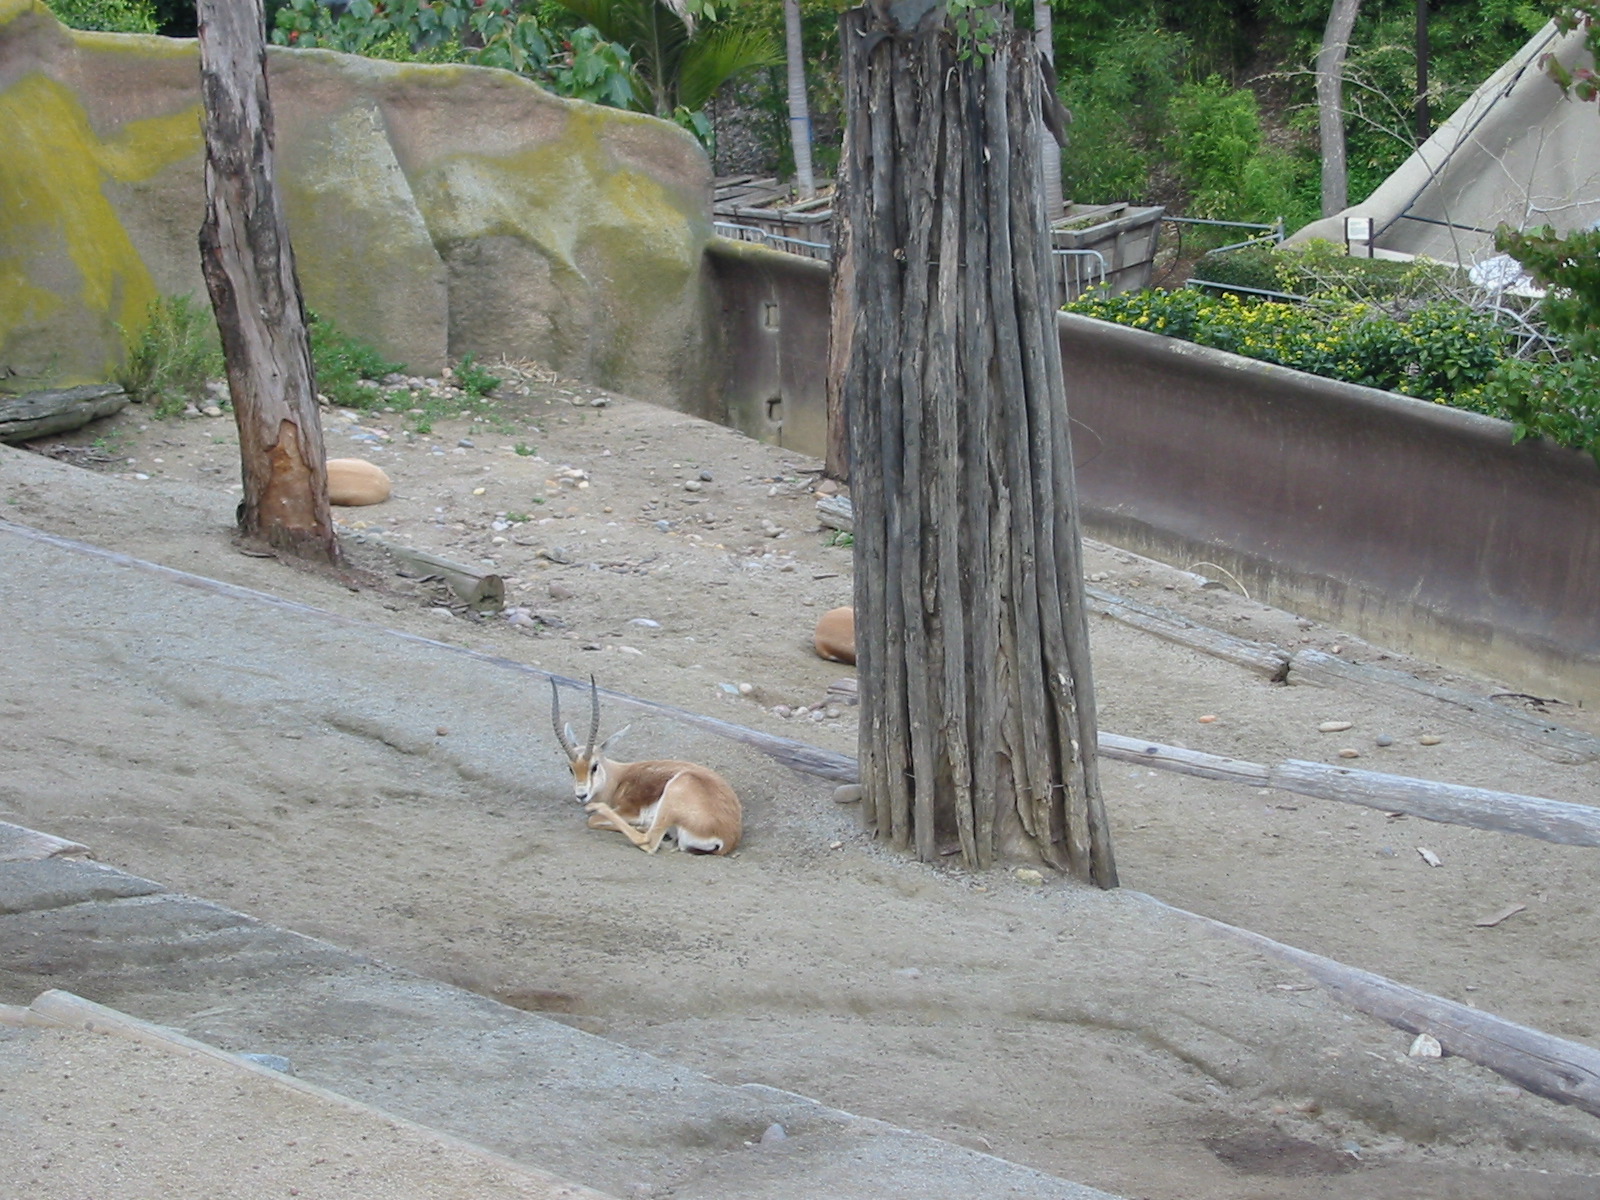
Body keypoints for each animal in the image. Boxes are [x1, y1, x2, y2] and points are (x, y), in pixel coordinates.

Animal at [551, 678, 742, 856]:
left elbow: (593, 820)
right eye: (570, 768)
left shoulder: (629, 811)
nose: (581, 795)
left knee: (647, 841)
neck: (617, 780)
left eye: (594, 766)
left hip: (674, 793)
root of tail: (727, 838)